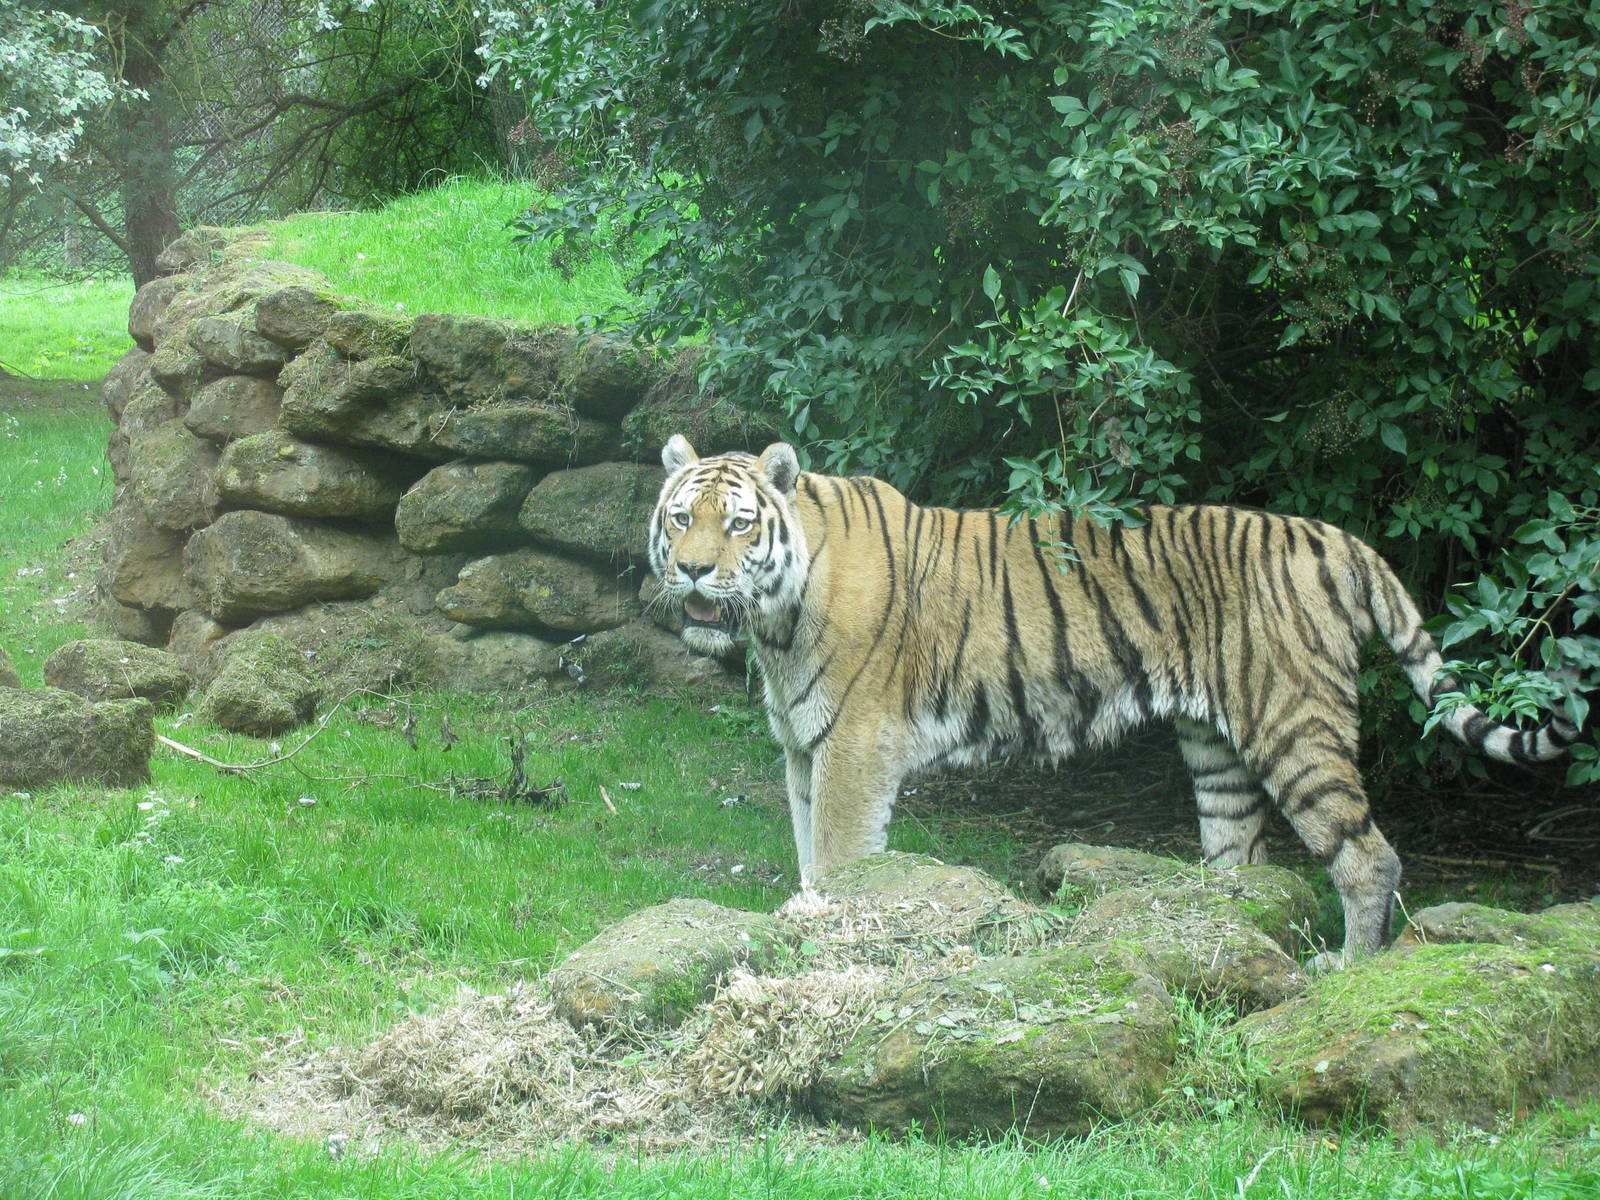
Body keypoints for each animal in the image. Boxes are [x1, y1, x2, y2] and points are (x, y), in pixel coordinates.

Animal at [648, 434, 1579, 967]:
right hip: (1216, 748)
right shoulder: (803, 747)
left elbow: (841, 861)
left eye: (738, 524)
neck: (775, 622)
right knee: (1243, 861)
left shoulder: (853, 749)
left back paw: (1350, 968)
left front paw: (825, 933)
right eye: (682, 517)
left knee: (1367, 855)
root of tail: (1332, 536)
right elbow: (808, 854)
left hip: (1292, 722)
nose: (690, 572)